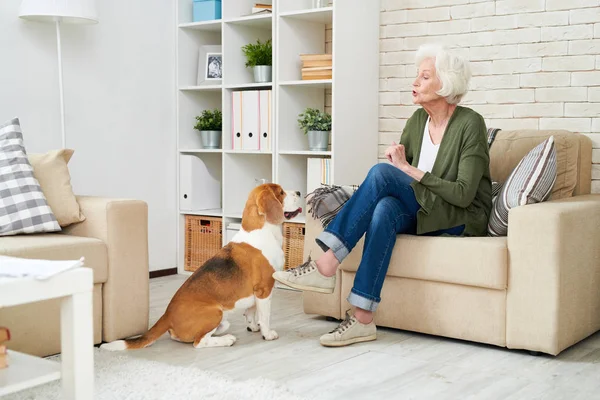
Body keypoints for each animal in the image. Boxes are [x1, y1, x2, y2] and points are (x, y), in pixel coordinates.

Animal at [101, 184, 304, 350]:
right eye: (281, 192)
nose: (299, 192)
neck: (263, 231)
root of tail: (167, 315)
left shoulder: (255, 293)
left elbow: (251, 311)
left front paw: (253, 327)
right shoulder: (264, 289)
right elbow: (265, 315)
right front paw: (267, 333)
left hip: (220, 319)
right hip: (215, 313)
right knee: (199, 342)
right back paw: (226, 340)